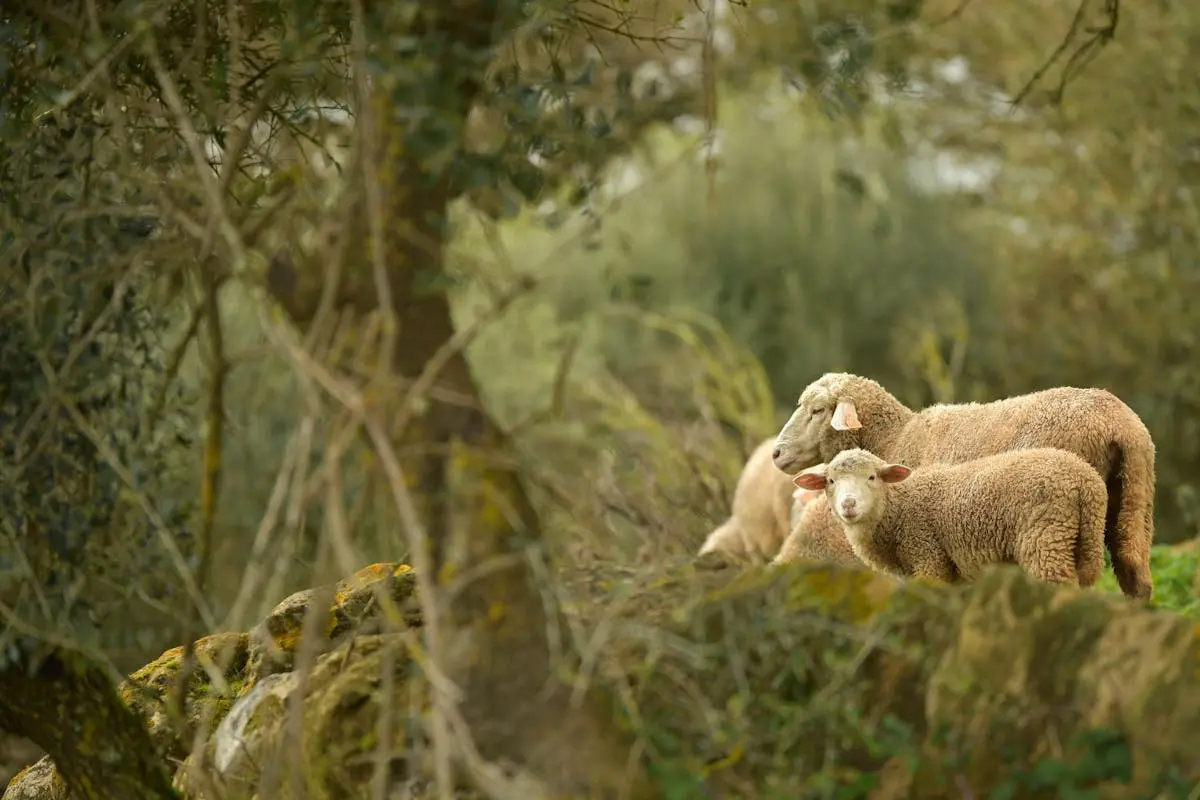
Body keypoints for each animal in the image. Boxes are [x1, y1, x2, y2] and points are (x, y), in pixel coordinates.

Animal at [796, 450, 1104, 587]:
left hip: (1045, 537)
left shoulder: (928, 557)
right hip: (1084, 542)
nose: (848, 504)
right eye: (831, 481)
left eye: (872, 477)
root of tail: (1084, 478)